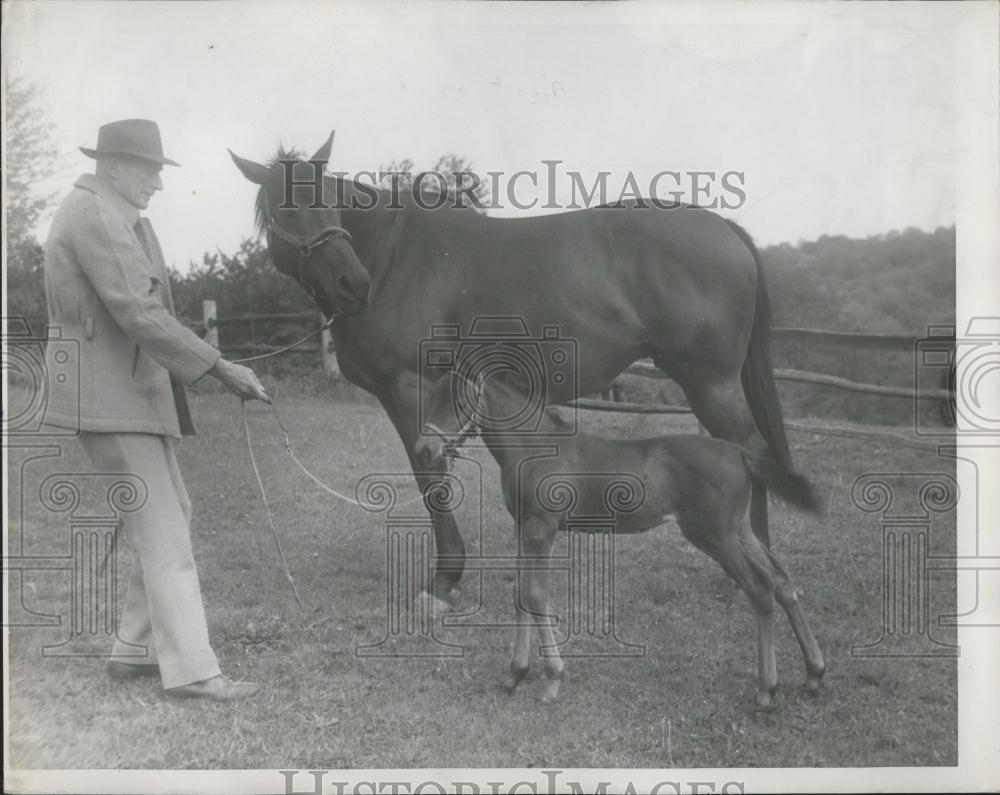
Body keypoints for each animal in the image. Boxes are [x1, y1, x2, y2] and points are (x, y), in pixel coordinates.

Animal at [230, 134, 792, 612]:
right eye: (285, 207)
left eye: (328, 199)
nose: (353, 284)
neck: (390, 256)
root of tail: (725, 230)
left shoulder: (414, 386)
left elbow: (431, 476)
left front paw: (444, 581)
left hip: (710, 381)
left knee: (750, 451)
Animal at [410, 370, 824, 704]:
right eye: (429, 398)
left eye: (459, 401)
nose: (424, 450)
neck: (535, 448)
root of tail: (738, 452)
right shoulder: (523, 527)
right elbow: (521, 594)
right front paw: (515, 675)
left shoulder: (542, 528)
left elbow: (534, 594)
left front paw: (552, 681)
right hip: (740, 531)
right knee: (781, 580)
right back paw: (814, 675)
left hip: (715, 536)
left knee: (761, 589)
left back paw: (766, 689)